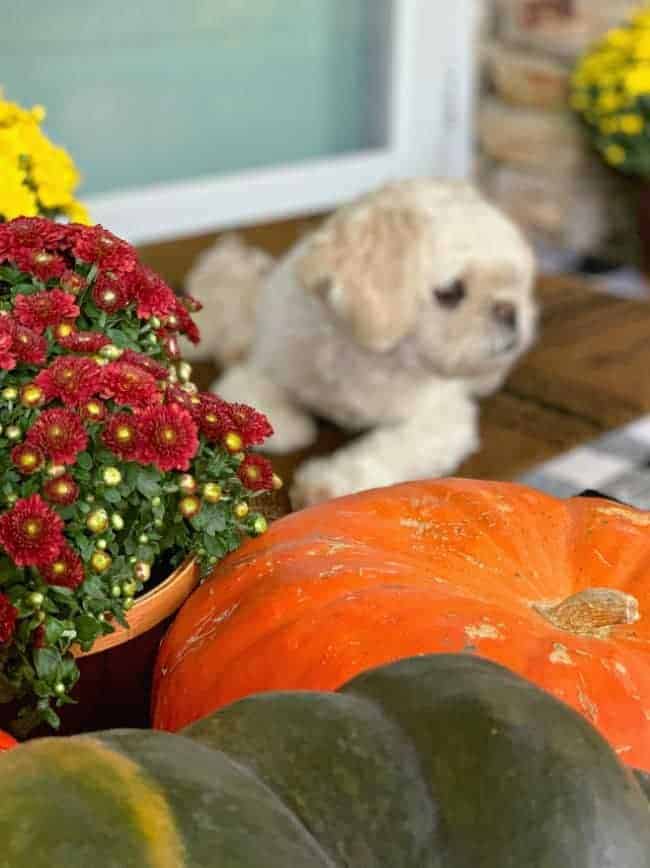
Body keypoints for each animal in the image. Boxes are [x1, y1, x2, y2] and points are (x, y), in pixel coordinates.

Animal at [184, 183, 536, 508]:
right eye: (451, 293)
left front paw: (328, 485)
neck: (365, 358)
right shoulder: (261, 368)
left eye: (519, 283)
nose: (510, 312)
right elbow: (265, 409)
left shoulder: (443, 420)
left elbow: (390, 446)